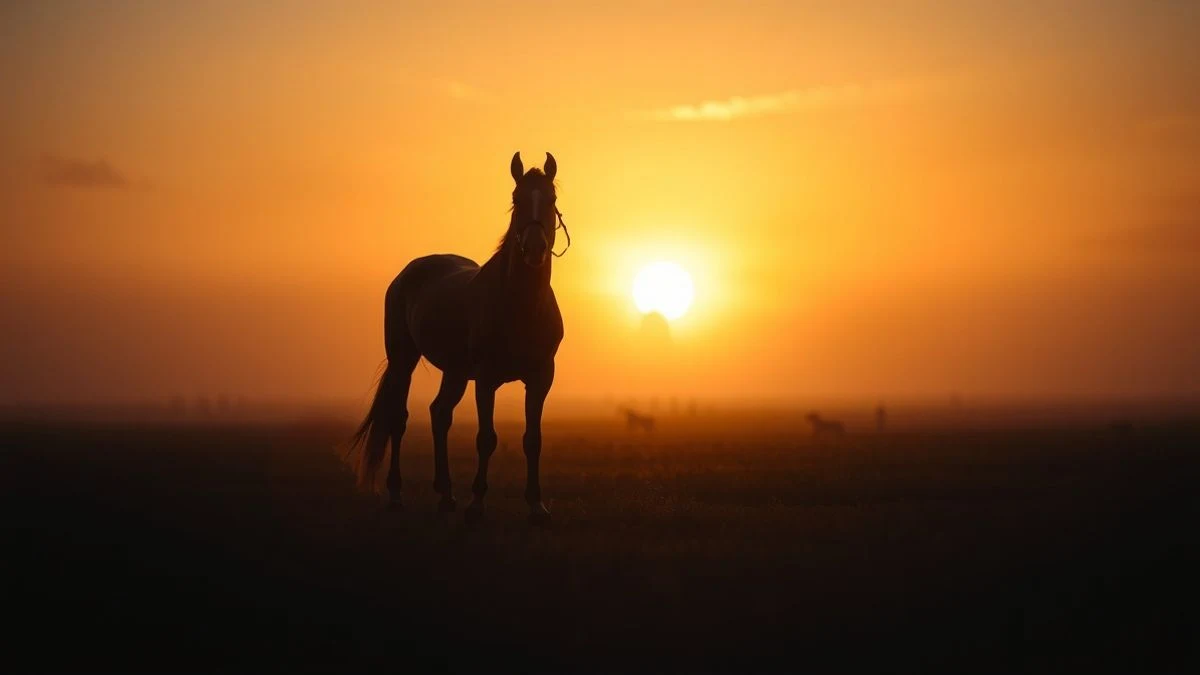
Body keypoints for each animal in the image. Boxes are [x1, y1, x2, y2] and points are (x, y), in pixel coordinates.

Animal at [348, 152, 567, 525]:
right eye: (516, 200)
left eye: (550, 199)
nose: (535, 249)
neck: (519, 305)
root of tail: (407, 273)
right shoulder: (487, 379)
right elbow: (486, 438)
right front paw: (476, 504)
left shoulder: (540, 378)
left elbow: (532, 439)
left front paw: (536, 506)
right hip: (403, 361)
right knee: (398, 419)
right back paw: (396, 495)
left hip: (455, 373)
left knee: (440, 414)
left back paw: (446, 494)